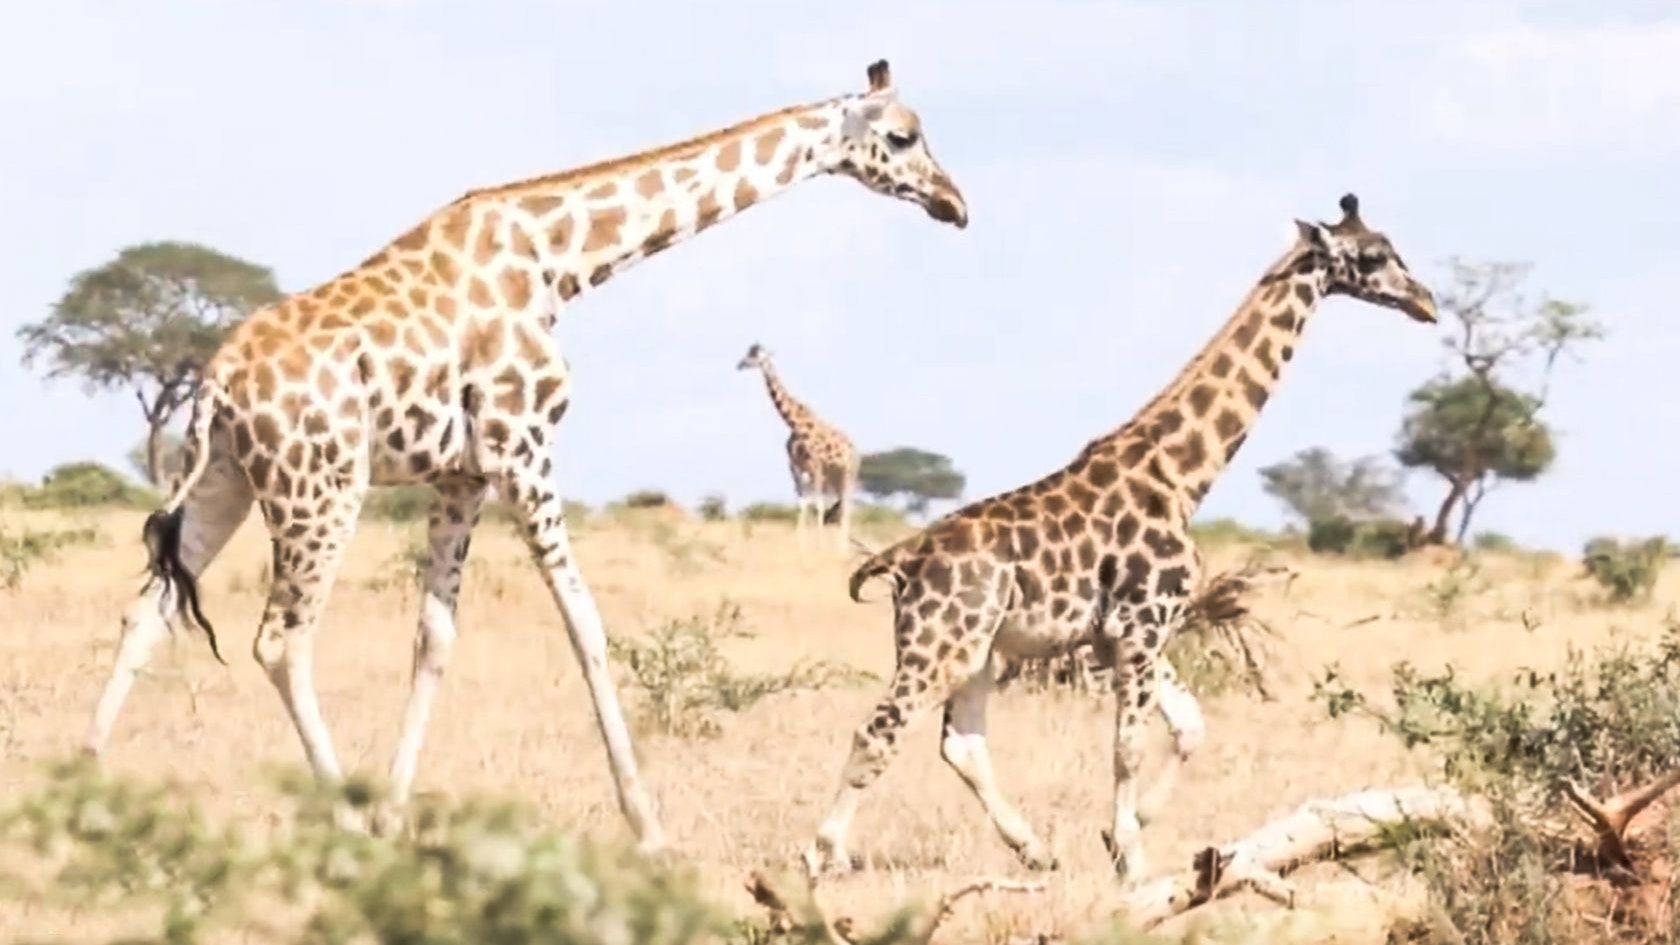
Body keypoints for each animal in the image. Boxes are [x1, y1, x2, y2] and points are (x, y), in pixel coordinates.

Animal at [736, 342, 861, 549]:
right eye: (748, 353)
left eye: (757, 356)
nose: (740, 364)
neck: (795, 424)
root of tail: (856, 450)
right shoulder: (795, 467)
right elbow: (802, 504)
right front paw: (800, 545)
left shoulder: (816, 466)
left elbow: (817, 505)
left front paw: (819, 545)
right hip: (833, 475)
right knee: (841, 504)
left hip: (848, 473)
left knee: (848, 505)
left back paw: (842, 548)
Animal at [802, 194, 1437, 883]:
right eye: (1373, 256)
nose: (1426, 301)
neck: (1183, 474)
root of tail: (904, 559)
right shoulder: (1141, 627)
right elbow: (1128, 745)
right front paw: (1131, 859)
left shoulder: (1133, 633)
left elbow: (1190, 726)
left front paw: (1124, 834)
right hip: (941, 641)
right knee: (880, 729)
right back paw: (822, 854)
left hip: (979, 650)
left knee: (961, 741)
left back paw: (1034, 849)